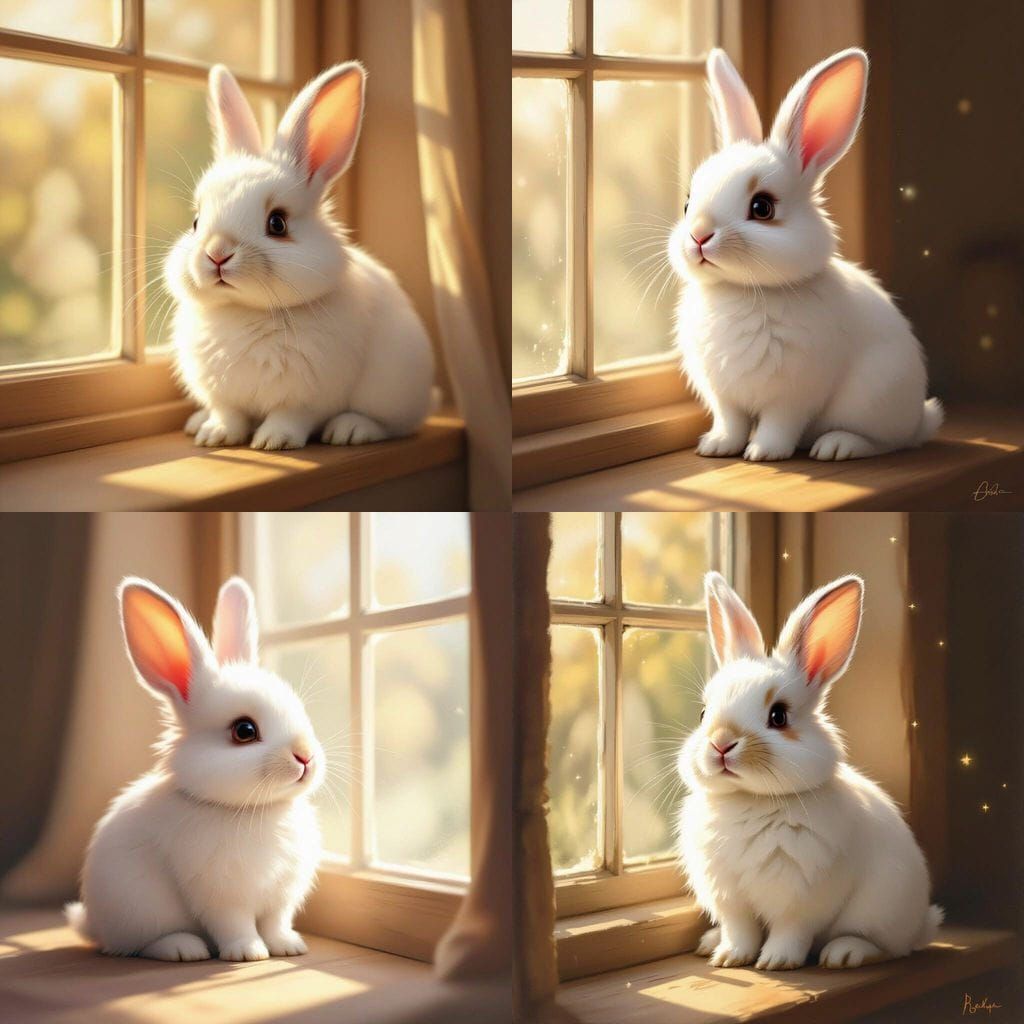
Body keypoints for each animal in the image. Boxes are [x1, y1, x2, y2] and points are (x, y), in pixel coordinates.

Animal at [65, 576, 323, 961]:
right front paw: (248, 953)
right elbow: (236, 925)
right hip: (141, 911)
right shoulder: (220, 895)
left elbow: (276, 922)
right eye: (244, 730)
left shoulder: (281, 896)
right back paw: (184, 949)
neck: (259, 810)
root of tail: (94, 924)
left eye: (301, 710)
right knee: (138, 945)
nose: (305, 756)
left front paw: (289, 947)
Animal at [165, 61, 435, 450]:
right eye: (196, 222)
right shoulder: (224, 394)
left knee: (394, 424)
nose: (217, 254)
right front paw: (214, 435)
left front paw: (272, 441)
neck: (247, 311)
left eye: (277, 223)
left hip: (394, 389)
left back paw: (351, 430)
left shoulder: (307, 396)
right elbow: (228, 413)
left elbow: (290, 417)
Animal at [669, 47, 943, 461]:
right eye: (687, 203)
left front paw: (763, 453)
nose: (699, 235)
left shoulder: (794, 395)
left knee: (885, 442)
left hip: (875, 400)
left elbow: (778, 424)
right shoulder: (723, 395)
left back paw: (836, 447)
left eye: (762, 207)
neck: (739, 290)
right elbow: (731, 422)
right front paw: (716, 447)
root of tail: (918, 419)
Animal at [676, 571, 943, 971]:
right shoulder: (731, 899)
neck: (750, 799)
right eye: (704, 713)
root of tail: (921, 925)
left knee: (887, 947)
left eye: (779, 716)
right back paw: (710, 942)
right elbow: (741, 931)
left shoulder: (803, 900)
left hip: (881, 913)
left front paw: (775, 962)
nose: (721, 743)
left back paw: (844, 954)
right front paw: (729, 957)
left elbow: (791, 932)